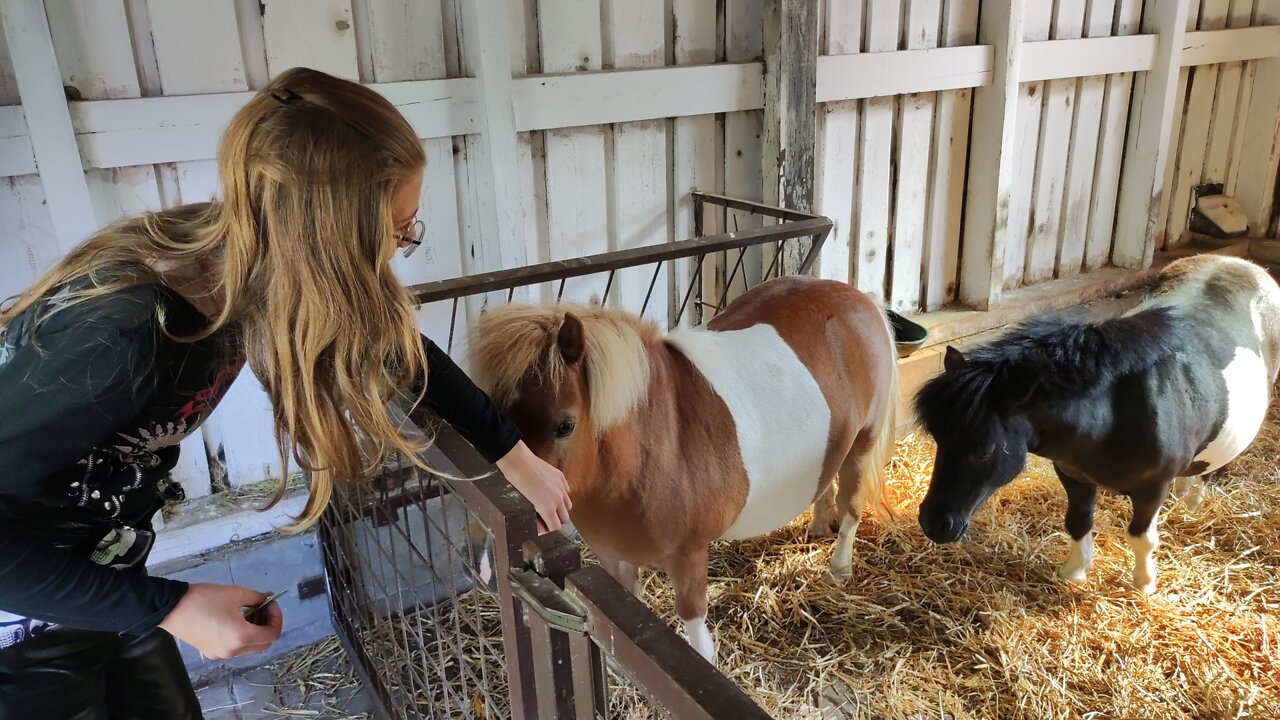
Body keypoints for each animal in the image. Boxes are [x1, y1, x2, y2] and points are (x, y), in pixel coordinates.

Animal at [471, 274, 901, 661]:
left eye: (565, 425)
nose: (488, 561)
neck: (652, 449)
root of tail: (860, 298)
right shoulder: (616, 562)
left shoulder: (689, 558)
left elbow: (697, 638)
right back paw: (818, 525)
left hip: (862, 445)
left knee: (850, 506)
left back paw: (839, 569)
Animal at [916, 254, 1274, 591]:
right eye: (938, 438)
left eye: (985, 450)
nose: (933, 524)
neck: (1113, 416)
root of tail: (1241, 264)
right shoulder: (1073, 475)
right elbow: (1078, 522)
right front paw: (1074, 573)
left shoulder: (1153, 488)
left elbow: (1142, 538)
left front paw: (1144, 584)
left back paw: (1193, 501)